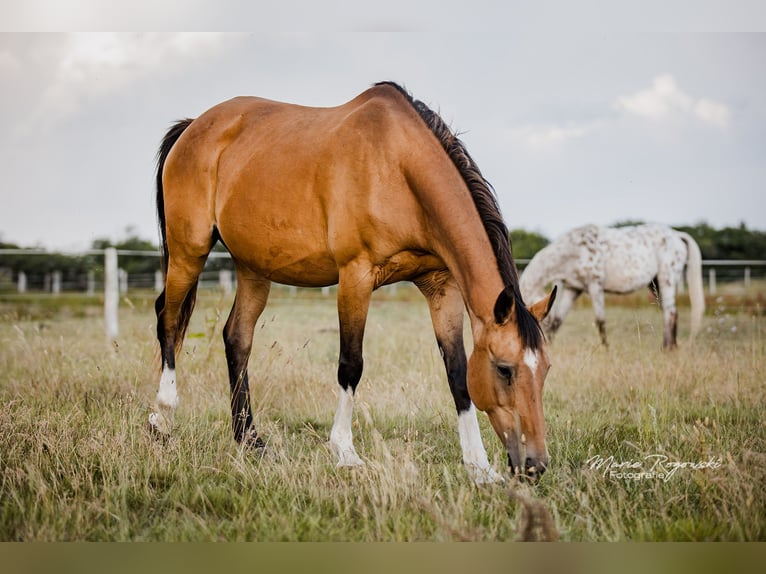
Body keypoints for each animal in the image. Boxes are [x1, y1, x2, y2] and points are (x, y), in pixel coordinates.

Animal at [150, 81, 557, 483]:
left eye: (546, 369)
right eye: (504, 369)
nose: (535, 464)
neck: (397, 165)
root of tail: (193, 126)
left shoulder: (441, 286)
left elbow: (457, 372)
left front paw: (479, 466)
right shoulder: (355, 276)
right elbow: (351, 363)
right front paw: (345, 452)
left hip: (253, 268)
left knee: (237, 339)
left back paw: (249, 439)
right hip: (189, 252)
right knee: (167, 319)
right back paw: (163, 419)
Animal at [519, 223, 704, 349]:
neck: (574, 250)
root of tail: (677, 235)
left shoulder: (595, 286)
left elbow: (600, 321)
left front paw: (605, 348)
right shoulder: (573, 289)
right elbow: (558, 321)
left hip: (667, 279)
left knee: (671, 312)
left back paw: (666, 348)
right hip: (657, 284)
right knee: (670, 312)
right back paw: (671, 347)